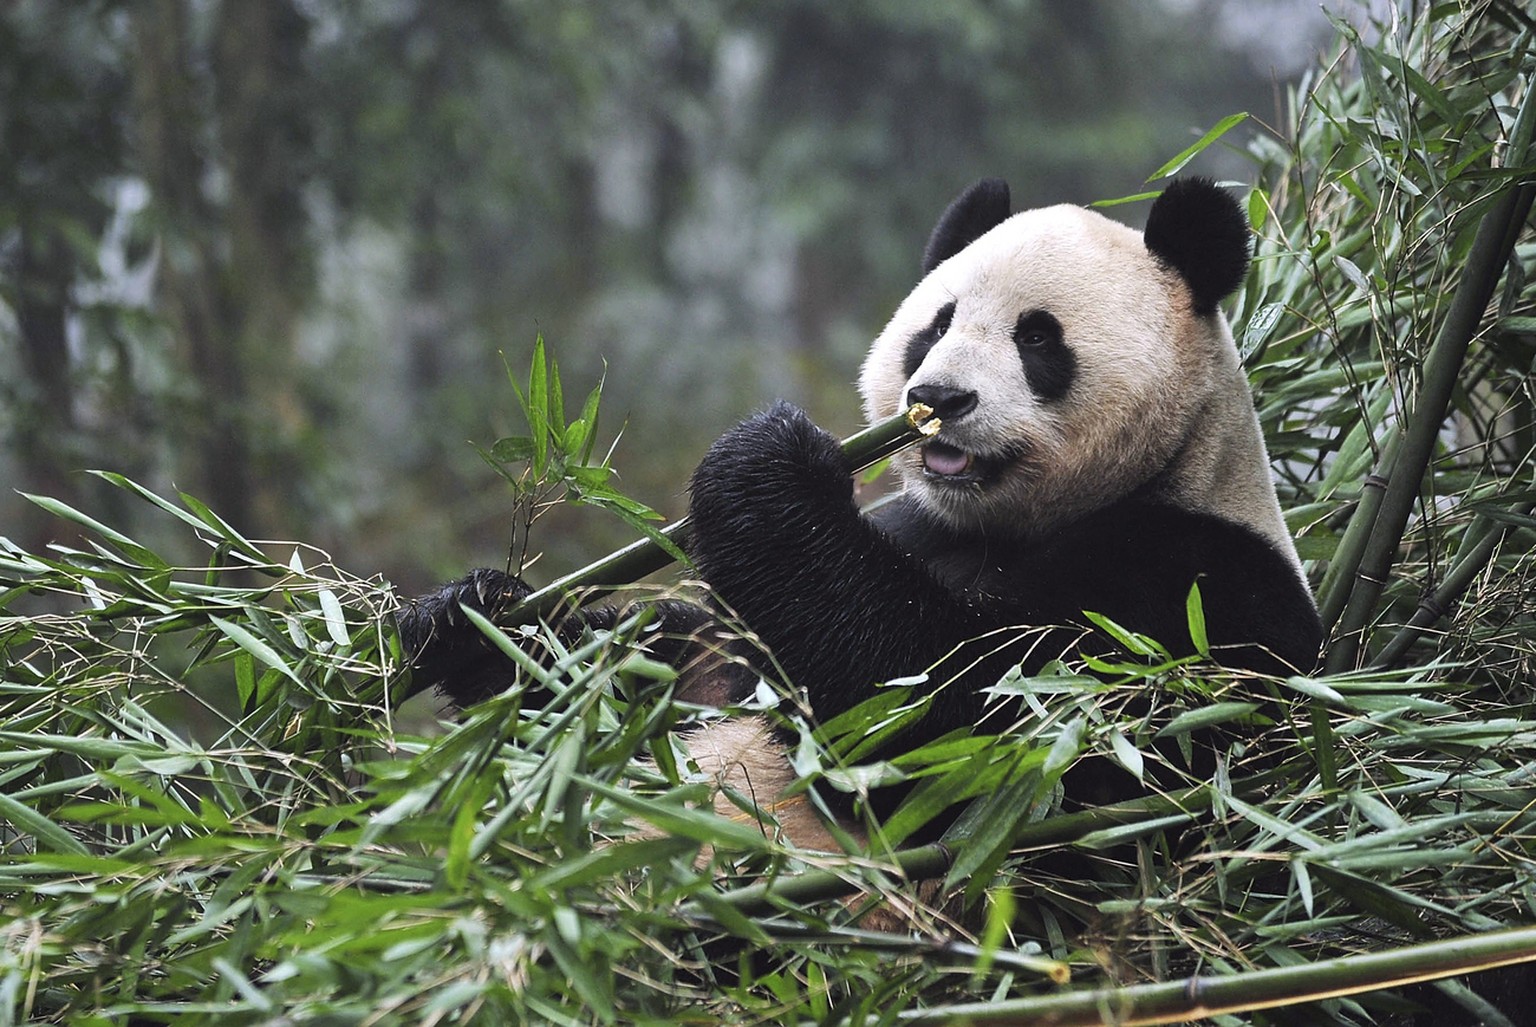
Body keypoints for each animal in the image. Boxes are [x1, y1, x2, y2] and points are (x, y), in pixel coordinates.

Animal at [402, 174, 1327, 847]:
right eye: (937, 323)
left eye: (1036, 337)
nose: (937, 398)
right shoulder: (915, 524)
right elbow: (669, 670)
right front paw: (471, 621)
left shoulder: (1192, 589)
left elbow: (973, 729)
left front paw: (767, 464)